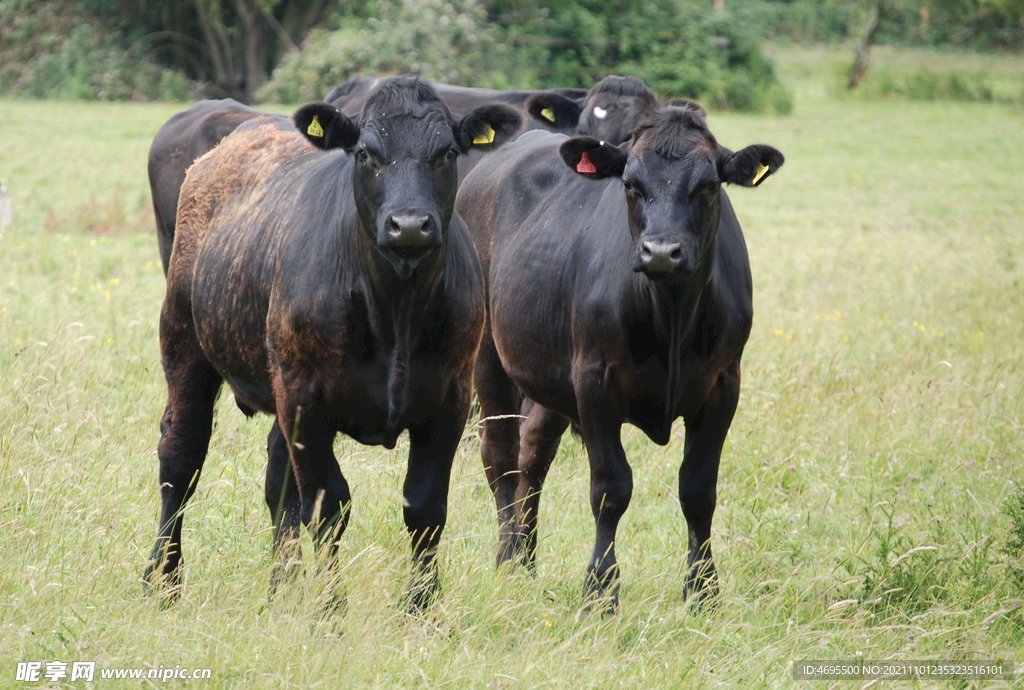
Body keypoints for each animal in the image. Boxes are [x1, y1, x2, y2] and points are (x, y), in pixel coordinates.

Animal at [146, 77, 520, 606]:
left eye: (447, 152)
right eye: (365, 153)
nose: (409, 224)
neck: (394, 312)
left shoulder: (451, 397)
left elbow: (425, 509)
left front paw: (422, 608)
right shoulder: (307, 397)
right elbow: (328, 506)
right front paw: (329, 609)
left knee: (277, 480)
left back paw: (281, 588)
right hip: (185, 343)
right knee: (181, 457)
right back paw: (163, 579)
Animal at [456, 103, 782, 606]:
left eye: (709, 186)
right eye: (630, 183)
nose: (661, 252)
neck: (671, 313)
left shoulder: (724, 384)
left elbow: (698, 489)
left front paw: (702, 590)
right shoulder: (596, 380)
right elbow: (610, 487)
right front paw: (600, 588)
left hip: (550, 377)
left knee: (533, 454)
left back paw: (527, 560)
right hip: (490, 355)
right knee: (500, 455)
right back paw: (508, 559)